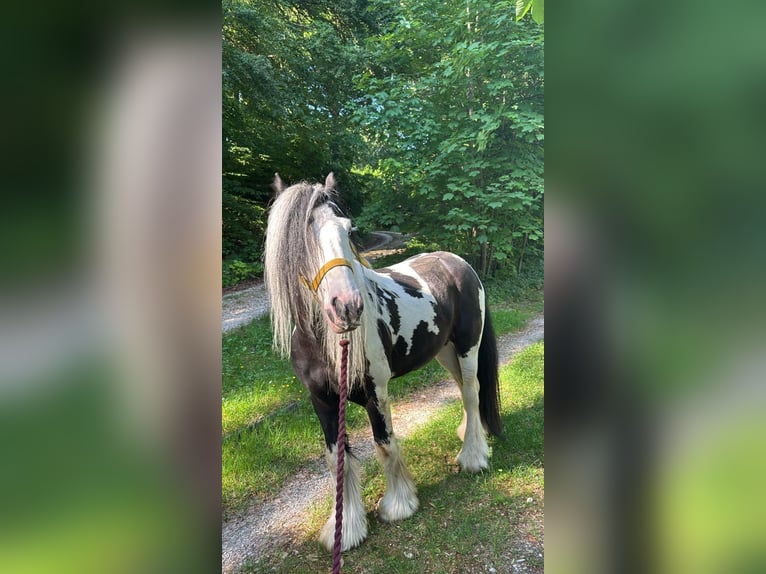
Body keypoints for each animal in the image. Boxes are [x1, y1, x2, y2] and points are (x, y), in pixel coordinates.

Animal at [264, 173, 502, 552]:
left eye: (348, 229)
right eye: (302, 235)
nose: (347, 306)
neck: (323, 342)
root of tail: (458, 262)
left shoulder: (377, 393)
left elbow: (385, 445)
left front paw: (399, 506)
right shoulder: (322, 401)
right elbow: (336, 458)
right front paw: (345, 529)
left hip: (468, 347)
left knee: (471, 391)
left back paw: (473, 457)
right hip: (445, 352)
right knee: (468, 393)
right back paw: (469, 433)